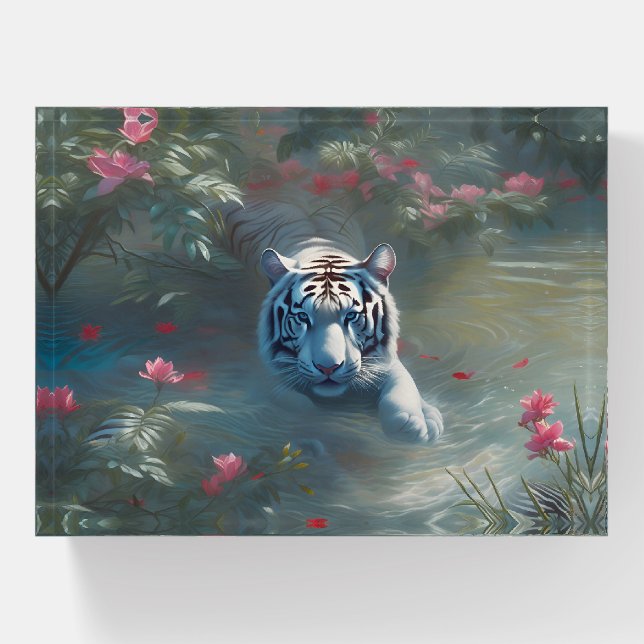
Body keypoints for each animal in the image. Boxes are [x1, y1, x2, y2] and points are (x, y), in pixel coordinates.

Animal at [223, 199, 443, 443]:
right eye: (302, 316)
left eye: (351, 315)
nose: (327, 368)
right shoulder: (268, 371)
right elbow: (297, 404)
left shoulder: (384, 359)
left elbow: (402, 384)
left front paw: (412, 421)